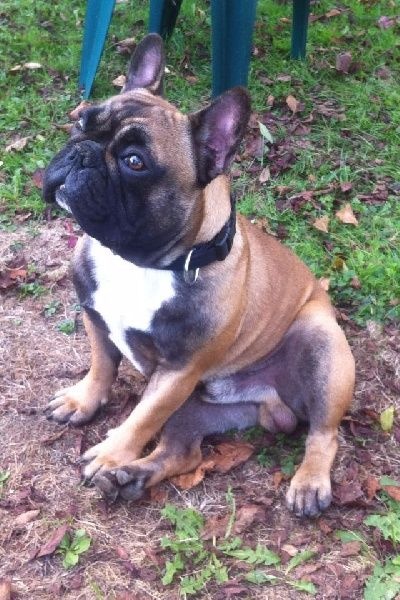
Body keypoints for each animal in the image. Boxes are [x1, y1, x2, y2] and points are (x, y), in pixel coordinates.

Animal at [43, 33, 355, 517]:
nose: (82, 152)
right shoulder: (97, 320)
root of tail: (275, 408)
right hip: (196, 407)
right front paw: (84, 402)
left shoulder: (178, 371)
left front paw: (111, 452)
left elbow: (142, 416)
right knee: (181, 453)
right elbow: (102, 366)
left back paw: (309, 482)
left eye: (134, 161)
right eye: (81, 122)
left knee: (324, 433)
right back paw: (129, 477)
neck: (139, 260)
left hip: (322, 344)